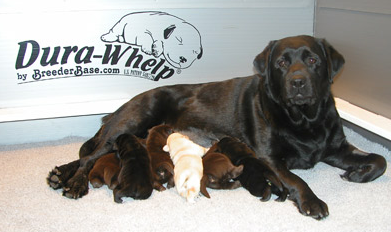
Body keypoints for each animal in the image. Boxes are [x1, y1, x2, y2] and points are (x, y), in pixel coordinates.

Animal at [47, 35, 388, 220]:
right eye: (281, 63)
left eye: (313, 60)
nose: (298, 82)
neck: (304, 118)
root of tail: (126, 103)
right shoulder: (268, 158)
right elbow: (296, 179)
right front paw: (312, 201)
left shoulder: (336, 147)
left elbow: (380, 160)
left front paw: (357, 174)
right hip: (132, 121)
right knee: (90, 156)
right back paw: (74, 183)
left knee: (88, 154)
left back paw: (58, 174)